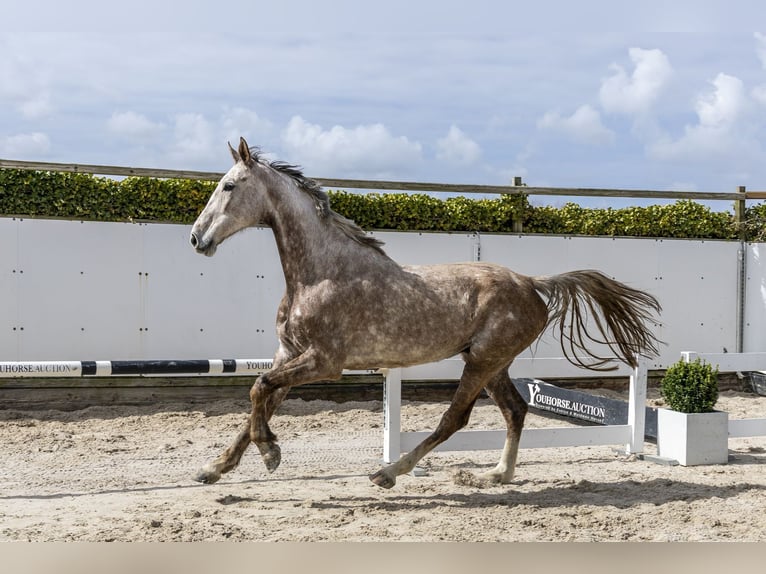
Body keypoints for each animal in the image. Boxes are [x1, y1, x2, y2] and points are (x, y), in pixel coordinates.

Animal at [189, 137, 661, 488]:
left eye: (229, 186)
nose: (196, 238)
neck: (320, 272)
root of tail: (532, 282)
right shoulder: (289, 354)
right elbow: (260, 399)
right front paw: (215, 468)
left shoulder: (324, 362)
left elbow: (259, 389)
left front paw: (270, 453)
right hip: (493, 363)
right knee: (515, 410)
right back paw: (498, 474)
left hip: (481, 362)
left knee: (455, 418)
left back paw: (388, 473)